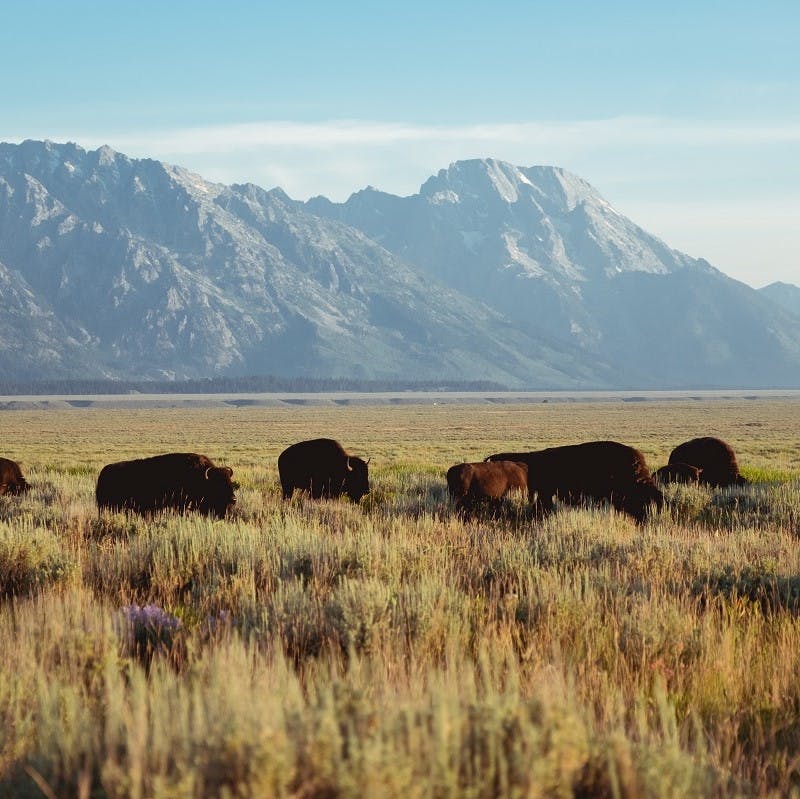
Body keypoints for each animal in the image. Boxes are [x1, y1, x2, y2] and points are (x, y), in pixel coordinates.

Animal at [95, 450, 236, 520]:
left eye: (230, 482)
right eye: (219, 483)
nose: (233, 499)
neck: (202, 477)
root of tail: (103, 472)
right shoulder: (180, 505)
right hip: (104, 506)